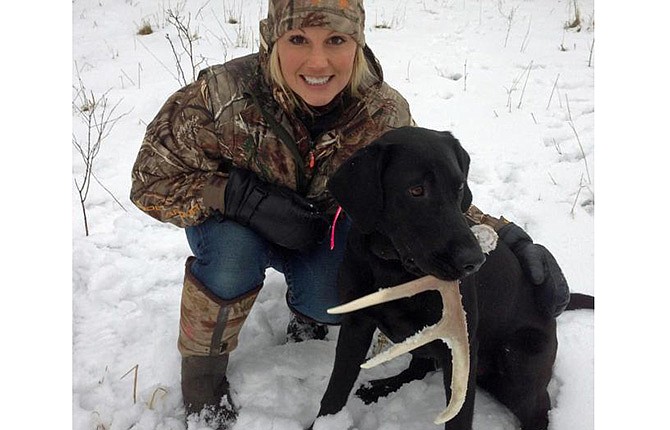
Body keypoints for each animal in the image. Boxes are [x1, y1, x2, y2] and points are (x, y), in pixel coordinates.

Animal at [312, 127, 592, 430]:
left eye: (458, 188)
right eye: (416, 190)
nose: (474, 261)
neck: (393, 270)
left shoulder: (460, 347)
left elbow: (459, 417)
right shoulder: (356, 323)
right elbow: (335, 390)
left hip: (519, 362)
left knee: (538, 410)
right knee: (419, 367)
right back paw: (380, 387)